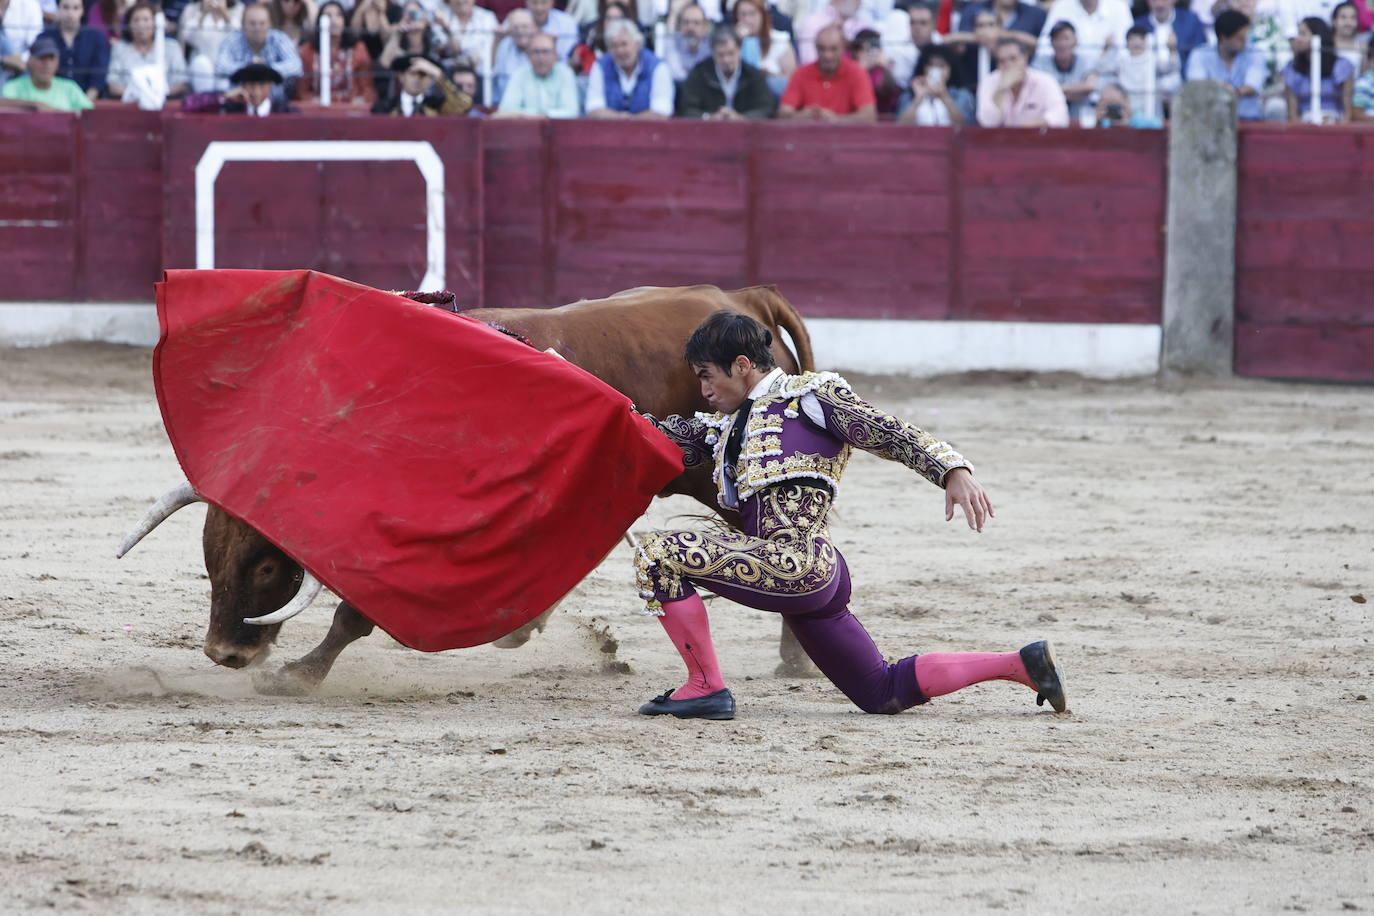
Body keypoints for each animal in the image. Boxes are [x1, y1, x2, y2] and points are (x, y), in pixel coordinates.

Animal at [118, 282, 813, 692]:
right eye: (208, 556)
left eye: (266, 568)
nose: (224, 655)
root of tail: (743, 299)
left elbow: (354, 613)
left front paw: (297, 675)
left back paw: (797, 656)